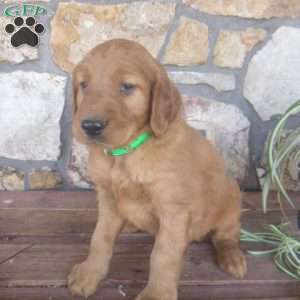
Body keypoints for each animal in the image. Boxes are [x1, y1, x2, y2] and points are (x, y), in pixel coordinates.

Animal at [68, 38, 246, 300]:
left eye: (127, 87)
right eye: (84, 85)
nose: (90, 126)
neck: (126, 154)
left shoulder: (174, 209)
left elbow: (164, 254)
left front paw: (157, 293)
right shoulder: (107, 197)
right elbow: (100, 237)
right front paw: (89, 274)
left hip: (230, 198)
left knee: (227, 234)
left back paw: (232, 257)